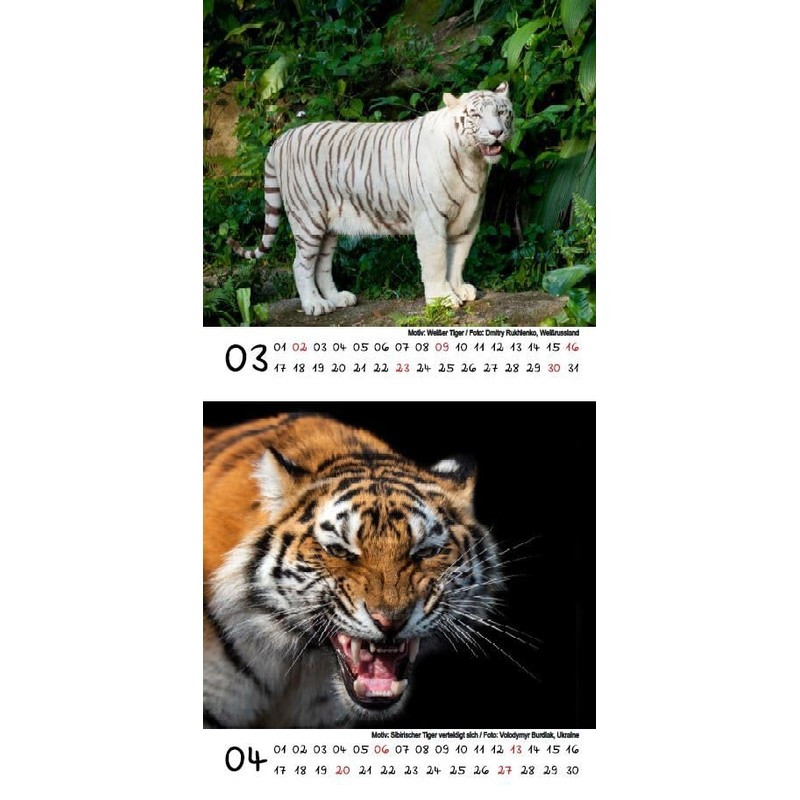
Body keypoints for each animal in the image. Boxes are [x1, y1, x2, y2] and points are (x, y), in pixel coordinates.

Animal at [228, 83, 514, 316]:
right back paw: (315, 305)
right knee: (301, 264)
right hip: (307, 218)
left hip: (329, 226)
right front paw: (443, 299)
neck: (473, 162)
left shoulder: (468, 220)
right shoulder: (431, 221)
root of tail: (282, 139)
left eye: (502, 113)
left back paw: (337, 299)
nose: (496, 132)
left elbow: (457, 260)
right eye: (476, 115)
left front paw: (459, 289)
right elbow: (436, 261)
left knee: (321, 264)